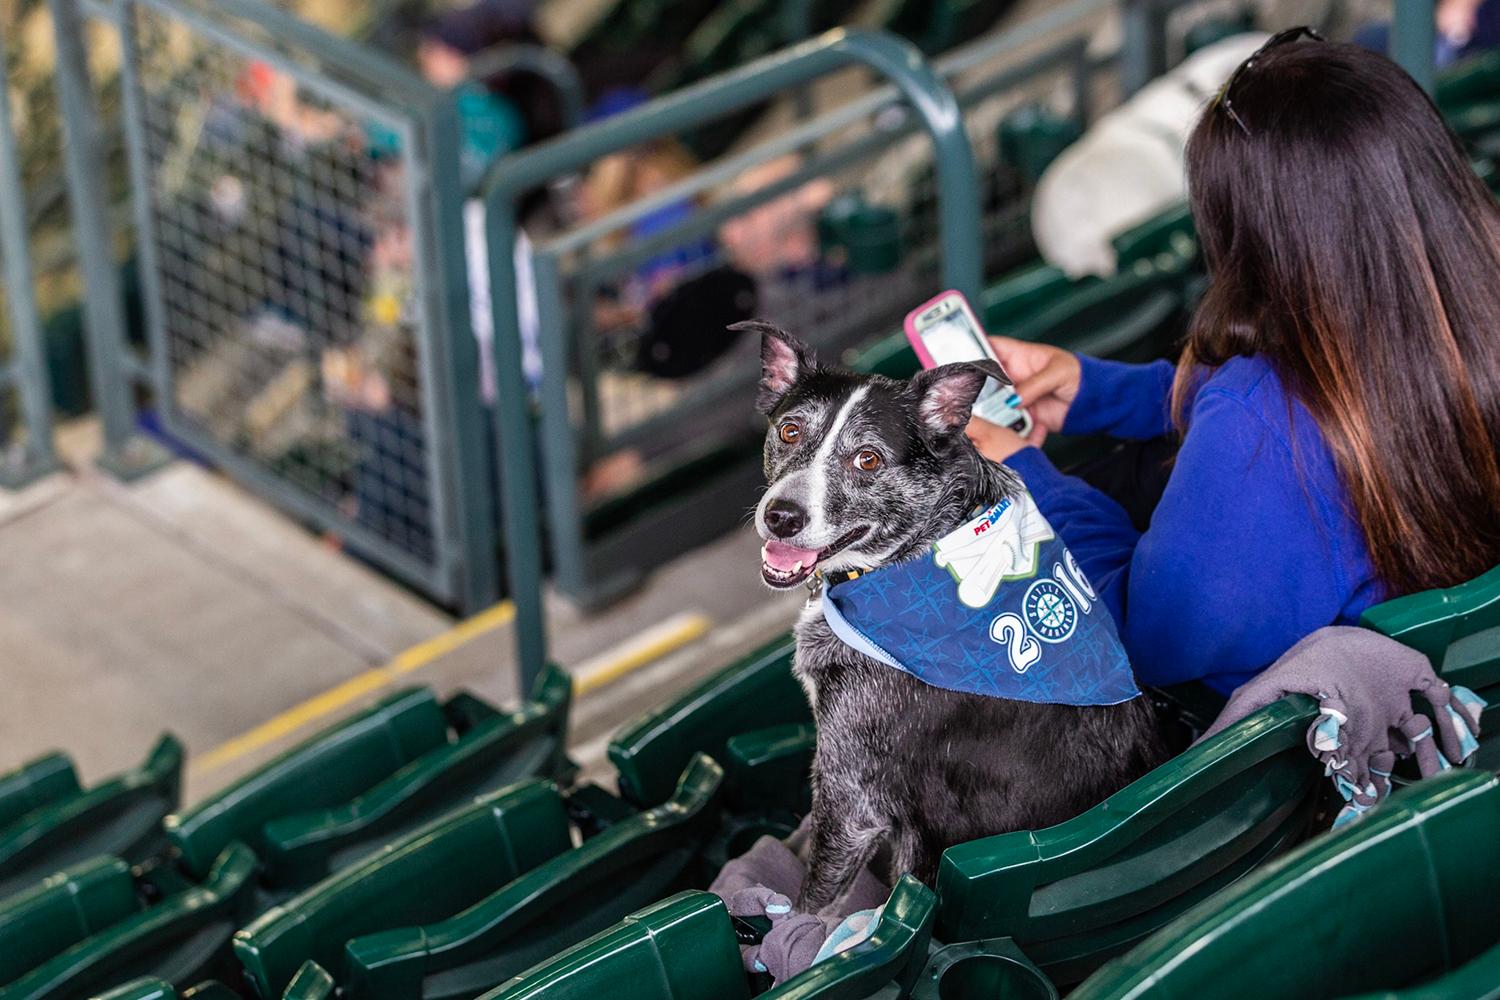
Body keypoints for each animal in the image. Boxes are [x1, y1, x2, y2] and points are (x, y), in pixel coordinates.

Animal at [750, 322, 1170, 917]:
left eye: (868, 460)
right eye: (788, 431)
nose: (780, 517)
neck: (932, 538)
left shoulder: (850, 794)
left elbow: (815, 902)